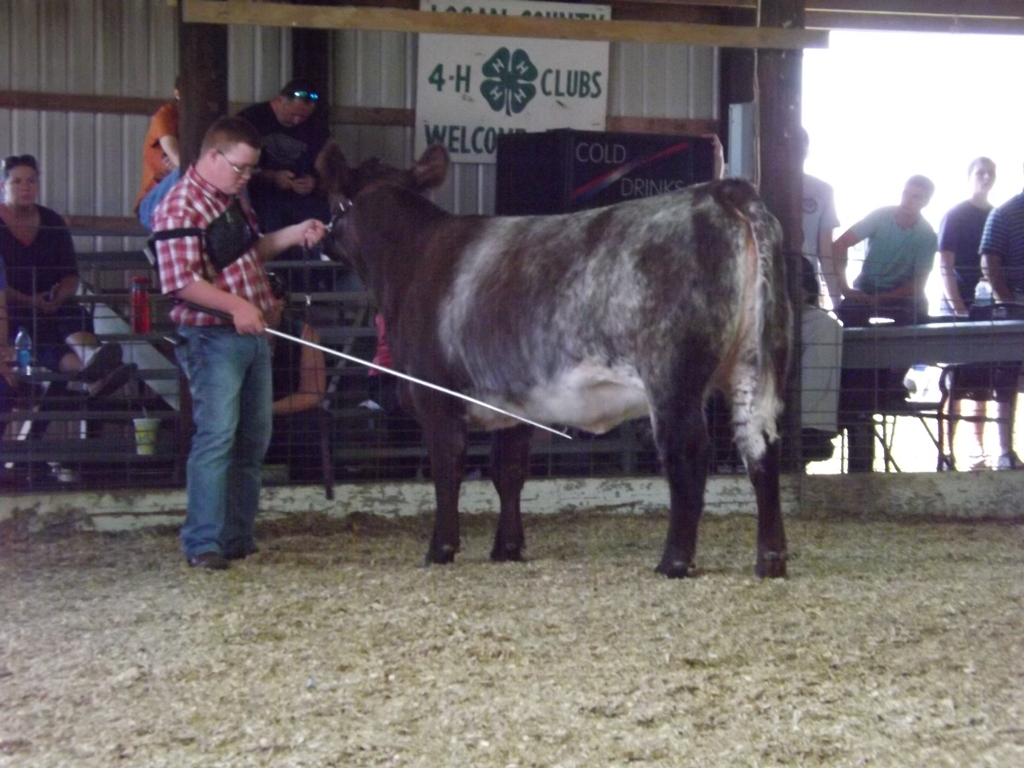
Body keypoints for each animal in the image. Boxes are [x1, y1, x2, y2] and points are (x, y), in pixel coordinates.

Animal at [323, 145, 791, 578]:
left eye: (336, 202)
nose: (320, 239)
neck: (411, 259)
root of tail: (720, 191)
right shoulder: (512, 405)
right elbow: (508, 472)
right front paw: (507, 548)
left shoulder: (435, 397)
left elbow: (447, 471)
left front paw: (440, 549)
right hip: (754, 366)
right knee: (762, 449)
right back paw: (771, 560)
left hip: (672, 378)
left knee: (688, 455)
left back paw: (673, 561)